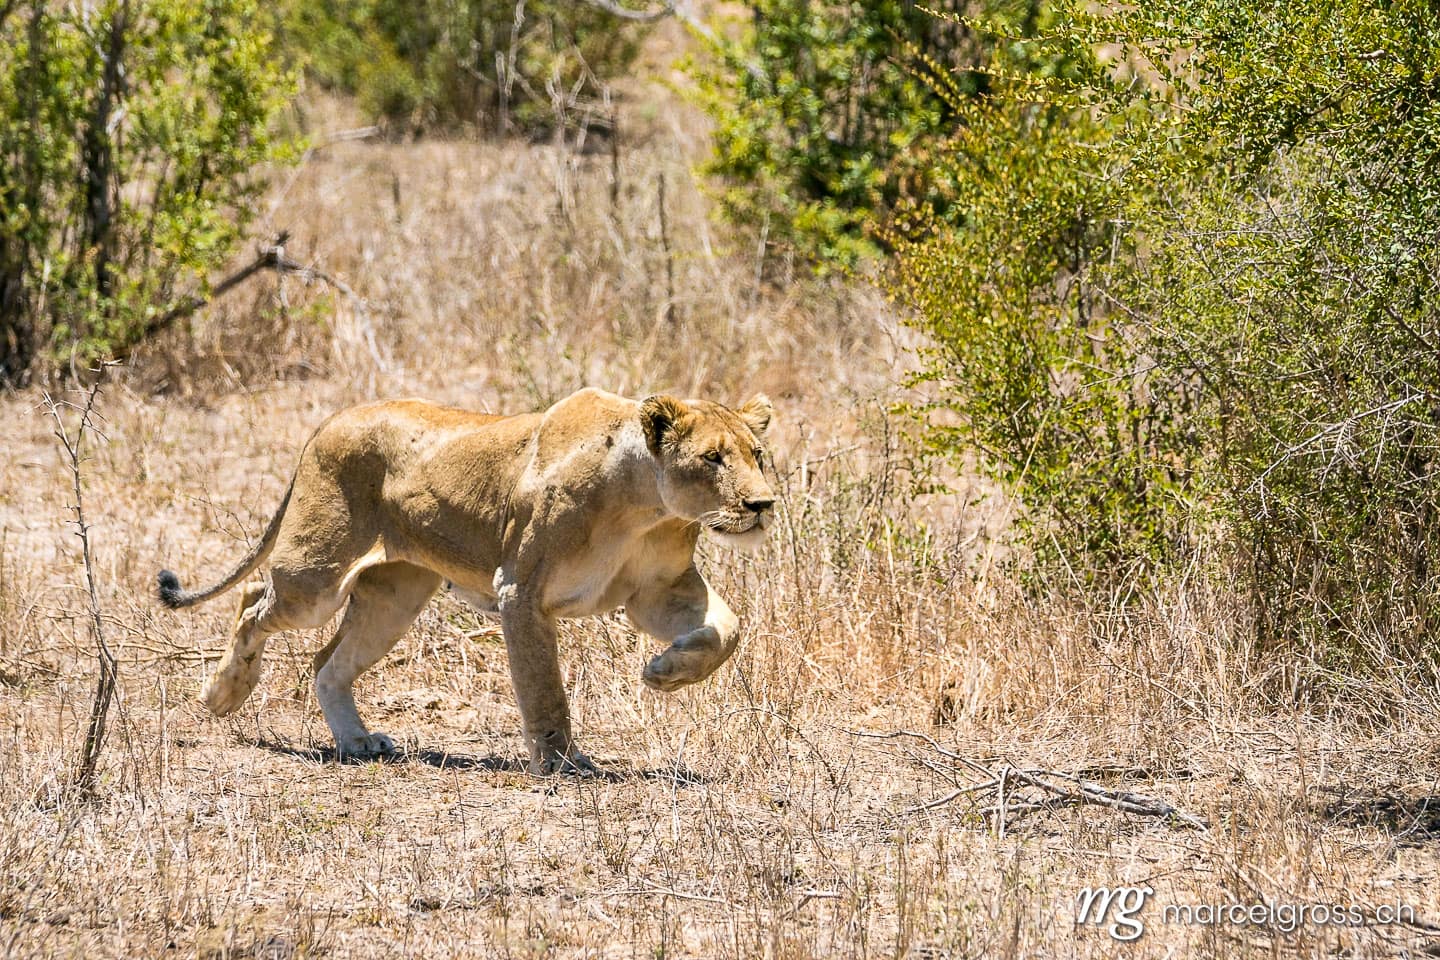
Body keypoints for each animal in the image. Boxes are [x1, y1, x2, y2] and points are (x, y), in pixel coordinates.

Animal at [156, 387, 775, 774]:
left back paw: (357, 741)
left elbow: (728, 629)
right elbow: (544, 689)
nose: (763, 504)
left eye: (757, 454)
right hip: (317, 576)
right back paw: (222, 693)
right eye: (713, 458)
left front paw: (665, 673)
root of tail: (329, 421)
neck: (648, 507)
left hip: (395, 596)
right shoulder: (520, 592)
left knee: (325, 662)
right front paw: (562, 764)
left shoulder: (657, 590)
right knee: (252, 598)